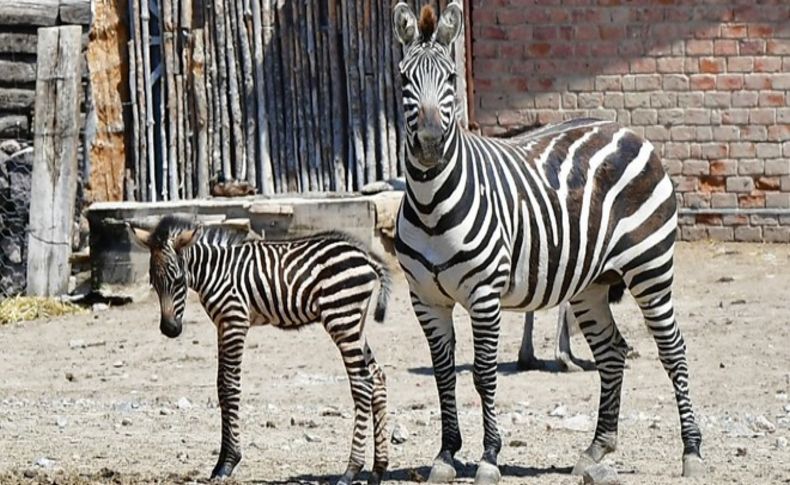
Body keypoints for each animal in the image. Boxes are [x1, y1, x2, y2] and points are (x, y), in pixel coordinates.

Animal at [127, 216, 392, 484]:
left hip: (341, 318)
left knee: (362, 384)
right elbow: (221, 386)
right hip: (355, 323)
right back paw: (378, 469)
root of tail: (364, 255)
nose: (170, 329)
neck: (215, 272)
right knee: (377, 377)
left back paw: (351, 470)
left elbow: (230, 387)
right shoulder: (223, 324)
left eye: (179, 280)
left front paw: (228, 463)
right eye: (153, 282)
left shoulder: (234, 321)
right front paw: (220, 463)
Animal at [394, 1, 704, 482]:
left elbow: (483, 374)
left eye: (450, 78)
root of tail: (628, 131)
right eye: (405, 78)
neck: (431, 205)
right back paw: (596, 449)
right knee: (613, 352)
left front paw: (488, 458)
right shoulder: (425, 300)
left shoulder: (484, 295)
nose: (429, 145)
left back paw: (691, 451)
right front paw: (445, 456)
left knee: (674, 351)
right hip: (592, 283)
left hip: (650, 268)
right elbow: (444, 374)